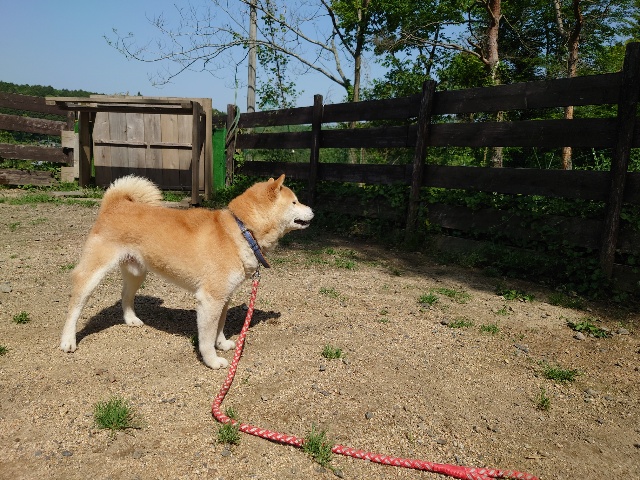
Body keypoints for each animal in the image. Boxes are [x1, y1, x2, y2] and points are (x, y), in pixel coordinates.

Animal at [59, 174, 313, 368]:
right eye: (295, 202)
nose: (312, 209)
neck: (242, 230)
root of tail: (115, 204)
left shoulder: (224, 297)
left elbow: (219, 327)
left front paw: (222, 344)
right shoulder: (210, 299)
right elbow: (206, 337)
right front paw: (212, 360)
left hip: (137, 272)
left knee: (125, 295)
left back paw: (131, 319)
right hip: (94, 273)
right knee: (75, 305)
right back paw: (68, 340)